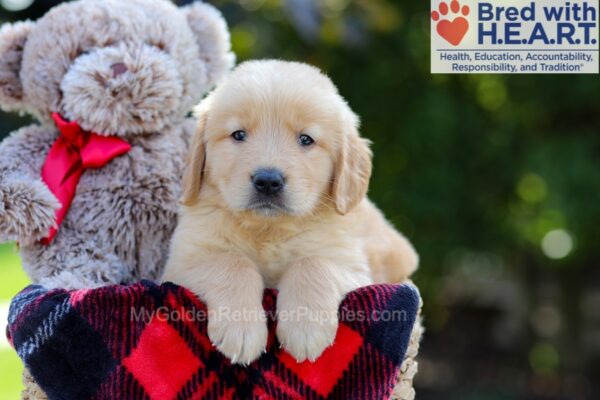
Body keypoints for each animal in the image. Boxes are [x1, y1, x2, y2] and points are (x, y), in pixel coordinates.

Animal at [162, 60, 420, 366]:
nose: (268, 181)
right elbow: (232, 262)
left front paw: (305, 328)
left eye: (306, 139)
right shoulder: (182, 263)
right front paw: (241, 328)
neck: (268, 228)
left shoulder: (354, 269)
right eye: (238, 135)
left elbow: (313, 263)